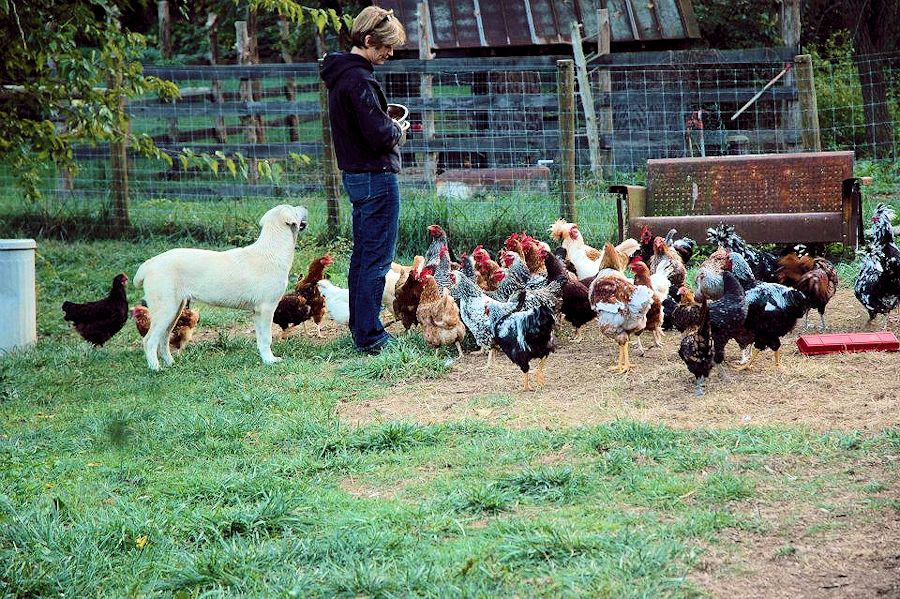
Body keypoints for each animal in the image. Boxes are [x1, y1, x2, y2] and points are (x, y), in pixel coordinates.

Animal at [134, 205, 310, 370]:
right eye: (294, 209)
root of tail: (149, 264)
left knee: (163, 339)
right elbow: (267, 338)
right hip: (165, 309)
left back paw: (171, 363)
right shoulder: (266, 308)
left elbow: (261, 339)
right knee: (149, 340)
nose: (304, 207)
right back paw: (155, 368)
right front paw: (270, 361)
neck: (272, 248)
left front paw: (265, 359)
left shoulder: (257, 312)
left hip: (175, 310)